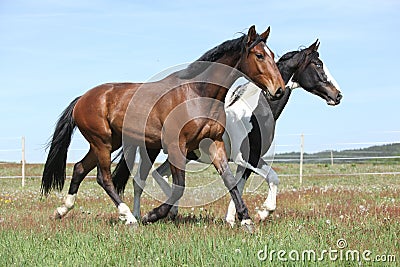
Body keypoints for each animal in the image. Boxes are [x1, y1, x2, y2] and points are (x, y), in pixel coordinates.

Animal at [41, 25, 284, 232]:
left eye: (273, 55)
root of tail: (83, 99)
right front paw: (153, 215)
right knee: (104, 178)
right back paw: (129, 217)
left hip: (109, 142)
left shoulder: (215, 144)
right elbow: (178, 187)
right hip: (102, 142)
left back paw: (62, 210)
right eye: (259, 55)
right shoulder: (176, 147)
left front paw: (247, 220)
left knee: (79, 168)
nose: (279, 89)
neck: (197, 93)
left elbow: (230, 181)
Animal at [111, 39, 342, 224]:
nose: (337, 95)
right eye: (318, 65)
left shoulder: (244, 160)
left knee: (158, 175)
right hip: (151, 150)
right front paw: (261, 213)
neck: (253, 113)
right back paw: (137, 216)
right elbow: (271, 178)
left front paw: (233, 219)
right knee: (140, 181)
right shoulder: (247, 158)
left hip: (181, 154)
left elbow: (237, 185)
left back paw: (168, 212)